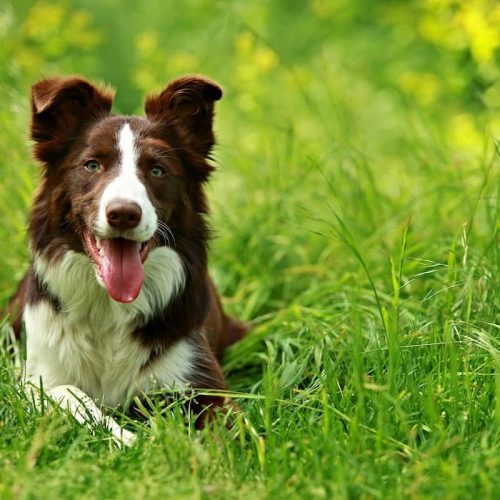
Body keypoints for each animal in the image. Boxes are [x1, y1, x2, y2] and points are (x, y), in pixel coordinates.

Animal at [5, 75, 248, 446]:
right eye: (92, 165)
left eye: (157, 170)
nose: (123, 214)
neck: (111, 307)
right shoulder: (37, 378)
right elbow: (72, 396)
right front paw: (130, 440)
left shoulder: (201, 381)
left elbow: (229, 427)